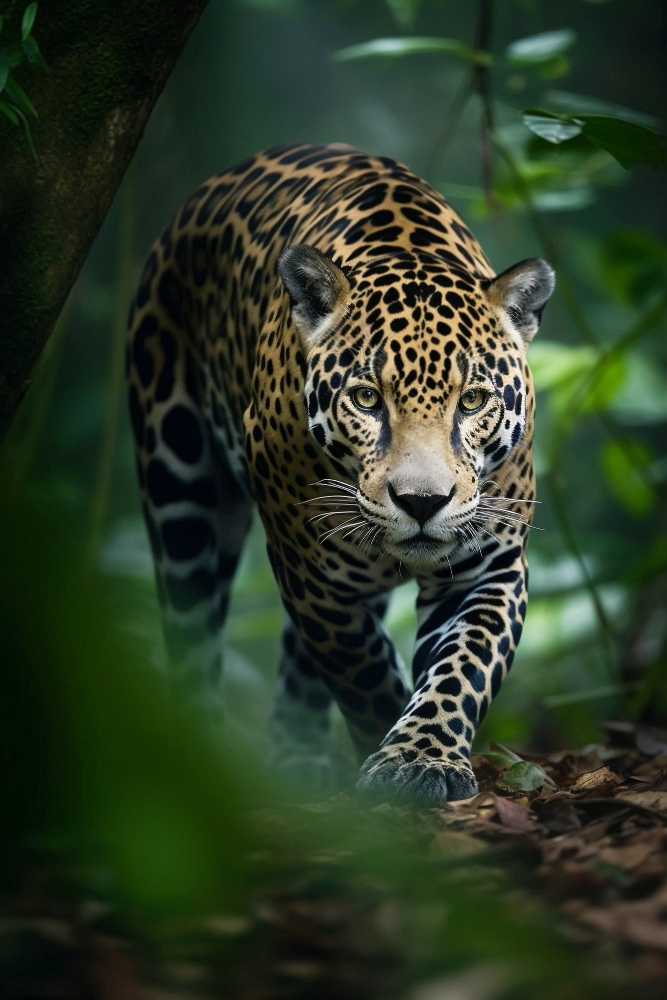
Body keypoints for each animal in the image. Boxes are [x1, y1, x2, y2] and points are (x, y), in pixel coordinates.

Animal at [127, 142, 554, 802]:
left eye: (473, 401)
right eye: (367, 399)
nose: (422, 502)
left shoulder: (487, 567)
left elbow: (461, 667)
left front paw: (421, 756)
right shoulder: (312, 575)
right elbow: (361, 670)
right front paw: (388, 742)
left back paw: (297, 758)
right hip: (177, 484)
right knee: (192, 627)